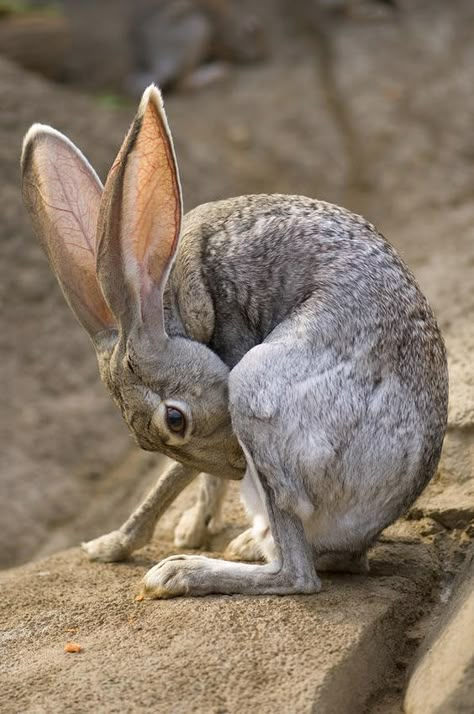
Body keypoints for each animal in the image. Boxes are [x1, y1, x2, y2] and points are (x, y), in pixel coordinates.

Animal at [19, 82, 448, 596]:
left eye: (175, 420)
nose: (236, 468)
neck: (167, 306)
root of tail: (365, 536)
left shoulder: (229, 364)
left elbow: (177, 474)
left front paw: (129, 543)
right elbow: (184, 477)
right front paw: (120, 543)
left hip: (254, 388)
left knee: (298, 575)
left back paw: (182, 571)